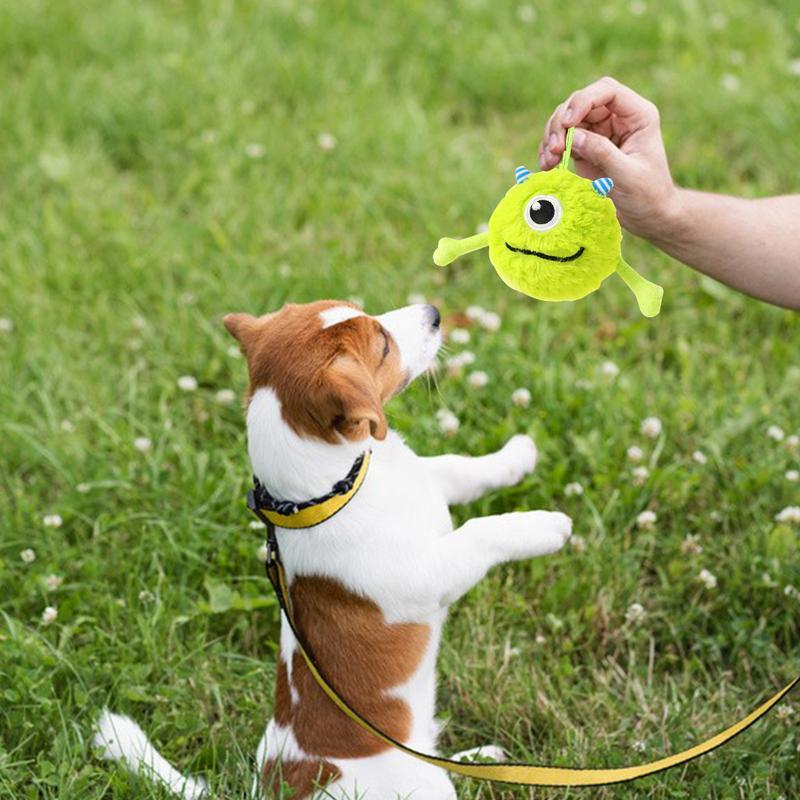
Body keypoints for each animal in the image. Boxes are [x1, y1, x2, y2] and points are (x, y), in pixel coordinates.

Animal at [94, 300, 572, 800]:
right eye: (383, 345)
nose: (435, 311)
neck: (337, 491)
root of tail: (276, 785)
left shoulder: (431, 480)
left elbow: (461, 468)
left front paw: (516, 455)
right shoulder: (425, 574)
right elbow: (480, 531)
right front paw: (544, 525)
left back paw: (485, 758)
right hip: (421, 787)